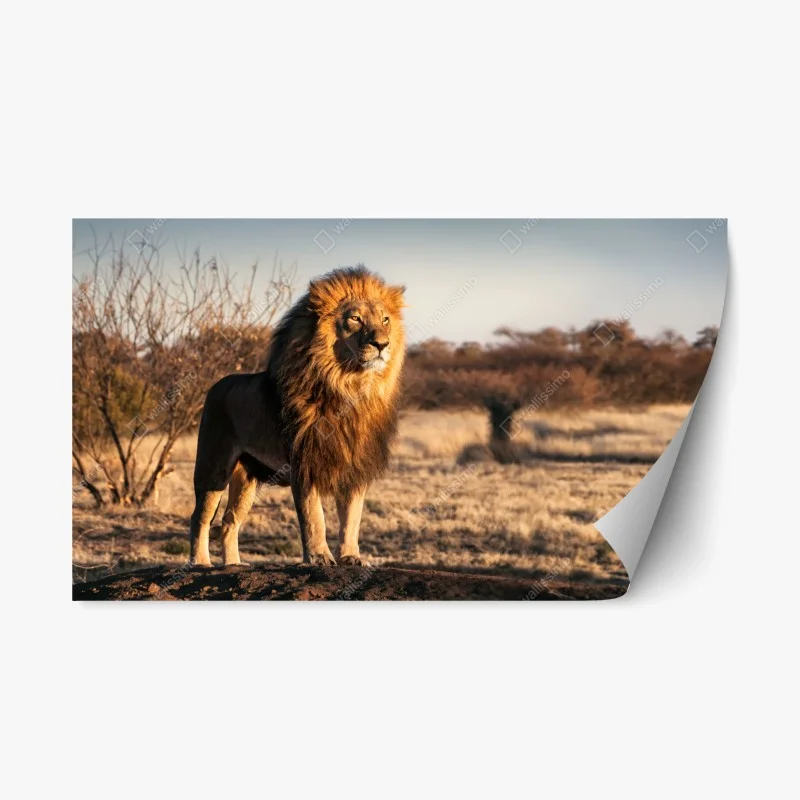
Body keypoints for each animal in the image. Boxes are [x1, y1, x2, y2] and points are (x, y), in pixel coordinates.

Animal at [189, 266, 406, 567]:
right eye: (355, 318)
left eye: (385, 320)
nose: (382, 344)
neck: (349, 386)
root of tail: (216, 385)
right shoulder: (304, 463)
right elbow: (314, 517)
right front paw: (319, 557)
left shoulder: (355, 465)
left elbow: (352, 517)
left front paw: (350, 556)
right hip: (214, 467)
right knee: (200, 517)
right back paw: (200, 562)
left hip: (247, 477)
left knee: (229, 521)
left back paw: (233, 564)